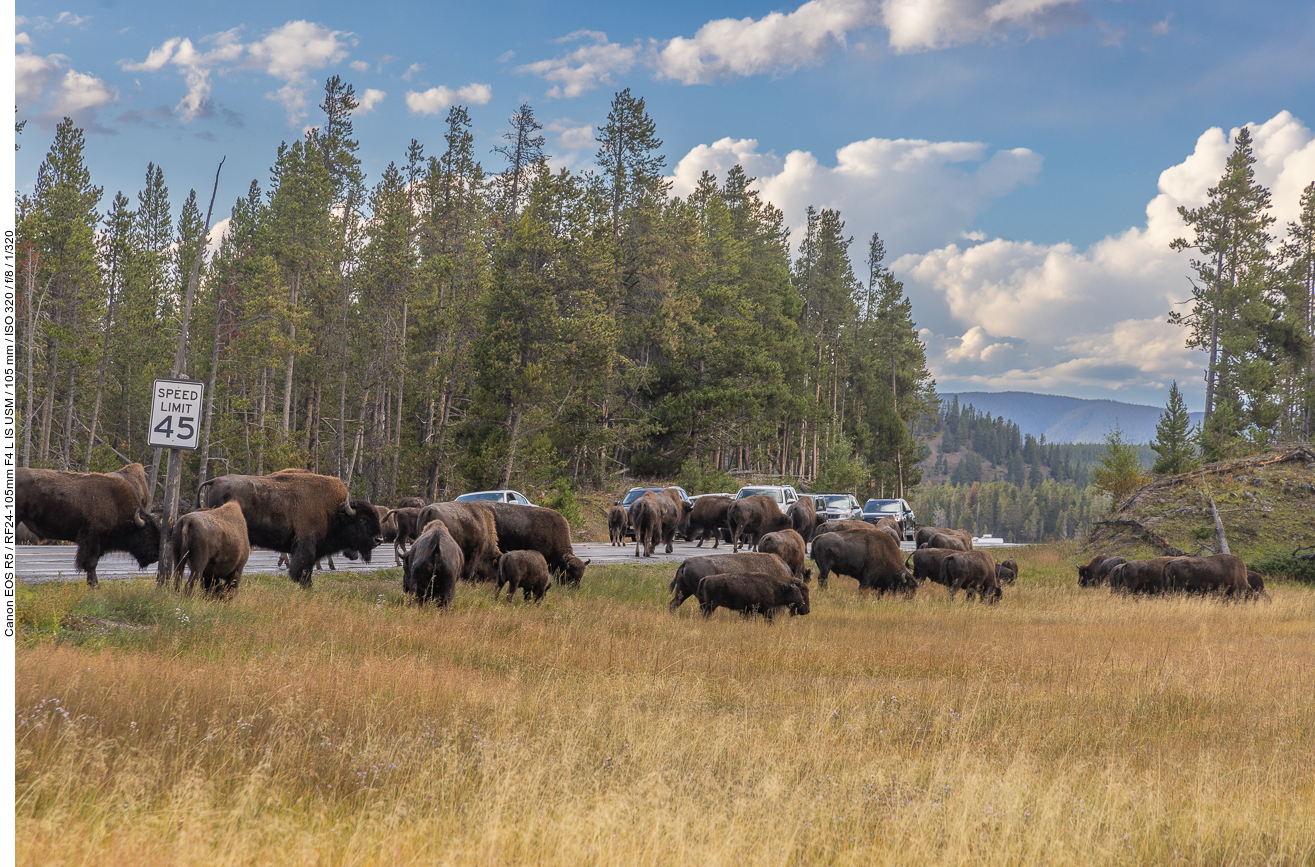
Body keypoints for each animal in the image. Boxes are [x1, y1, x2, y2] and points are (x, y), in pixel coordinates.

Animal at [16, 468, 160, 589]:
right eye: (147, 534)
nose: (156, 555)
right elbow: (91, 563)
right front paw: (94, 585)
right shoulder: (91, 539)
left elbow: (93, 563)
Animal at [194, 468, 383, 589]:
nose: (379, 539)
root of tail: (215, 480)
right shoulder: (305, 545)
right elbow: (302, 571)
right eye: (363, 520)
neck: (335, 511)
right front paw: (304, 585)